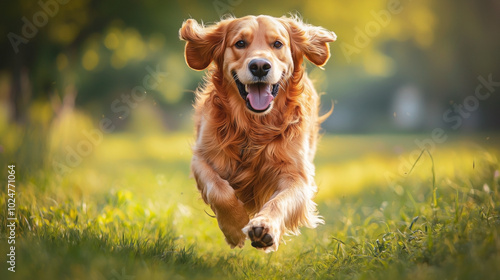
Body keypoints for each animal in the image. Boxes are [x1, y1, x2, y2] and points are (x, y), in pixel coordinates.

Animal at [179, 14, 336, 252]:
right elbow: (219, 190)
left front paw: (264, 226)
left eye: (278, 44)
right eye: (240, 43)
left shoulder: (297, 175)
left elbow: (280, 201)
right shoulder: (202, 158)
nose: (260, 66)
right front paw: (235, 227)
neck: (254, 126)